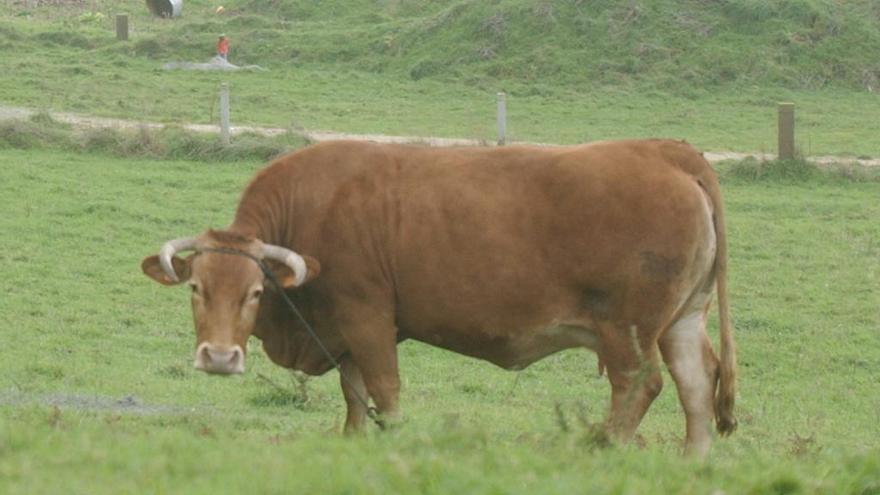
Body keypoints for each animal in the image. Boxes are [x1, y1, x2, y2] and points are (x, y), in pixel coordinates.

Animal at [144, 138, 736, 456]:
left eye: (255, 291)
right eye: (196, 287)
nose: (219, 358)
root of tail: (665, 152)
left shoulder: (367, 316)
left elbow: (384, 391)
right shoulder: (344, 331)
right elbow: (355, 395)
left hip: (627, 330)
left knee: (640, 385)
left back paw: (602, 447)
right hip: (683, 321)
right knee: (695, 387)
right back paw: (693, 462)